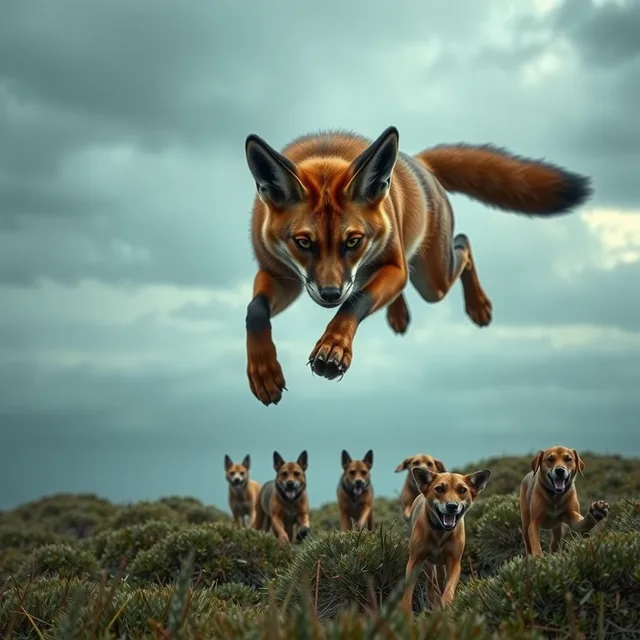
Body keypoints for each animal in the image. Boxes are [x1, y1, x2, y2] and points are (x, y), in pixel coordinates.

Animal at [244, 126, 592, 406]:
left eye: (353, 241)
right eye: (303, 242)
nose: (330, 294)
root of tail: (419, 163)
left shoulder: (391, 269)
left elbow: (356, 302)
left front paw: (334, 347)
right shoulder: (281, 276)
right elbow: (255, 310)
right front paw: (264, 373)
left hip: (432, 282)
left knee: (463, 244)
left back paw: (478, 306)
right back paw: (399, 315)